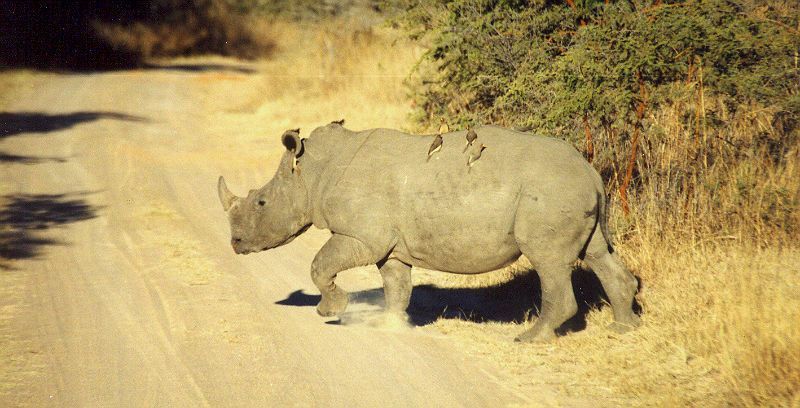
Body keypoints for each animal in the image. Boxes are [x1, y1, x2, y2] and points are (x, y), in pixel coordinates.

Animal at [216, 123, 640, 342]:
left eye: (261, 203)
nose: (234, 244)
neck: (313, 170)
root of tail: (591, 171)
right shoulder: (388, 244)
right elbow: (396, 285)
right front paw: (388, 324)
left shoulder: (362, 237)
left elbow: (320, 265)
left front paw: (329, 311)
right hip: (572, 190)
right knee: (597, 253)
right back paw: (622, 328)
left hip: (551, 194)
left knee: (549, 262)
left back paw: (529, 339)